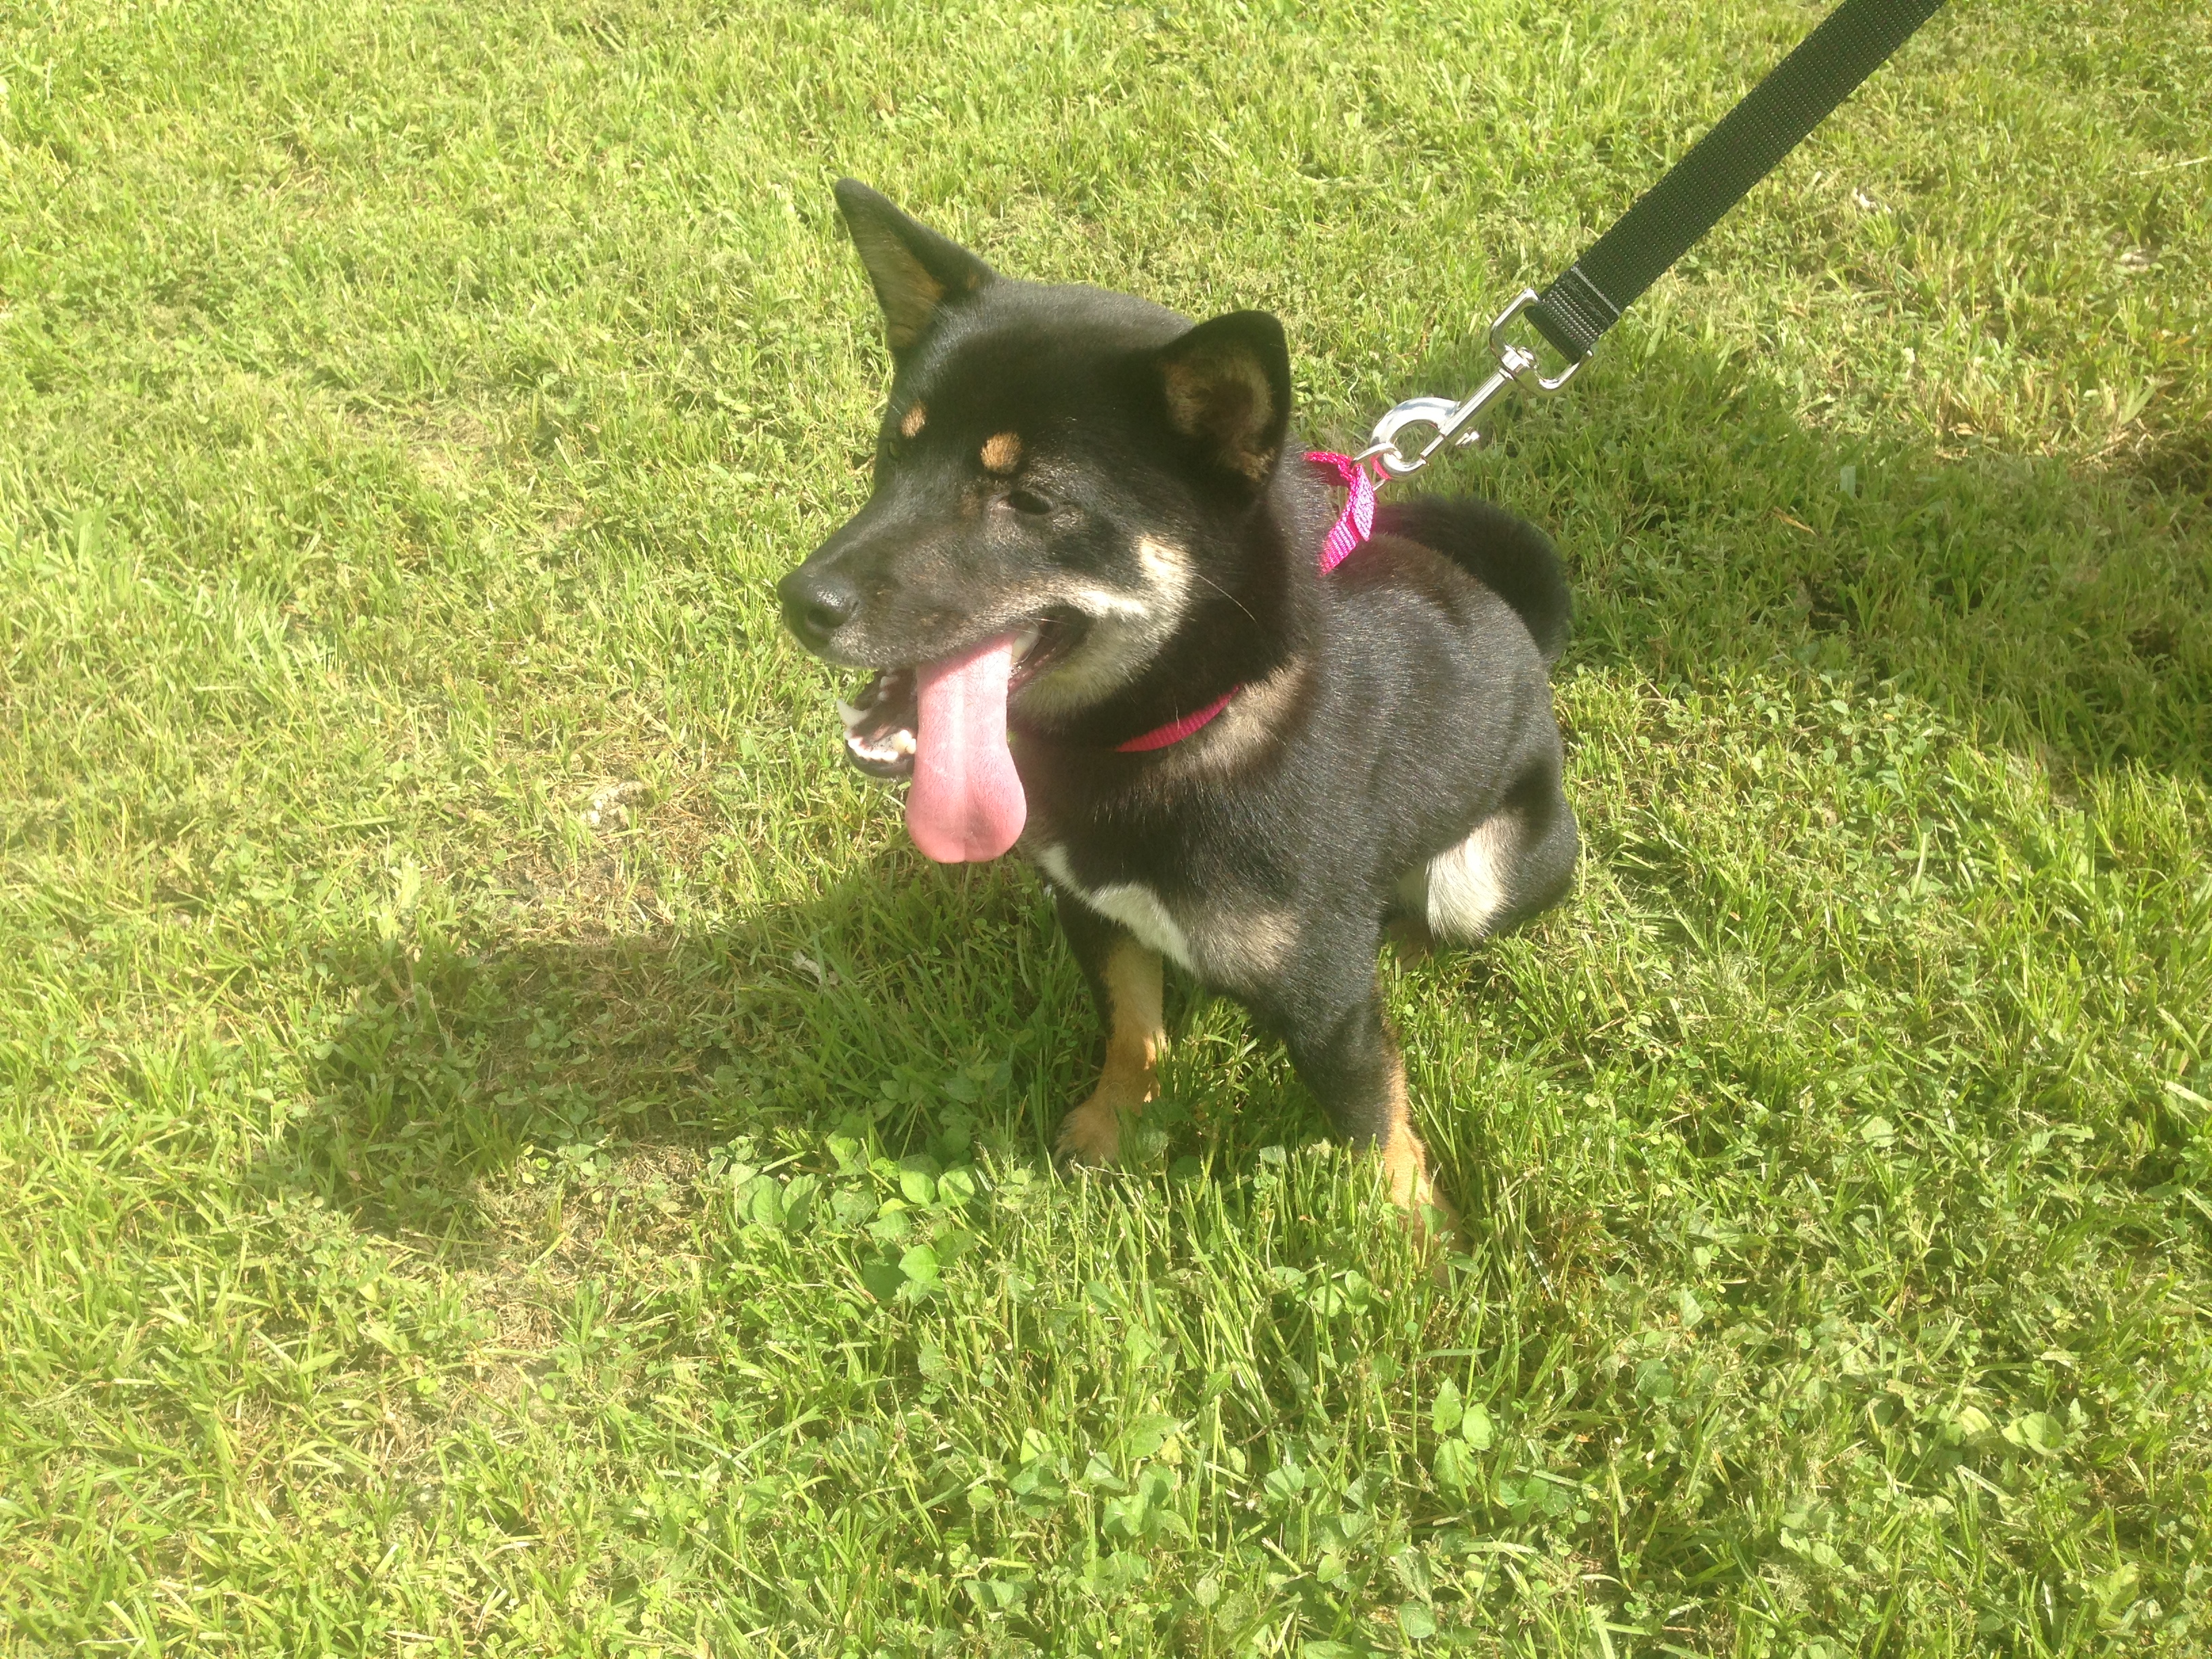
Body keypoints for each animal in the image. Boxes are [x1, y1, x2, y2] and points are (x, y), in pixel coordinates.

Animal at [777, 180, 1577, 1231]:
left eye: (1030, 501)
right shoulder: (1094, 915)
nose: (801, 600)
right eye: (890, 454)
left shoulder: (1330, 1008)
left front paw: (1416, 1244)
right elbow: (1134, 1030)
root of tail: (1523, 628)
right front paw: (1111, 1127)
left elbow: (1378, 1130)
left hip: (1482, 878)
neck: (1164, 736)